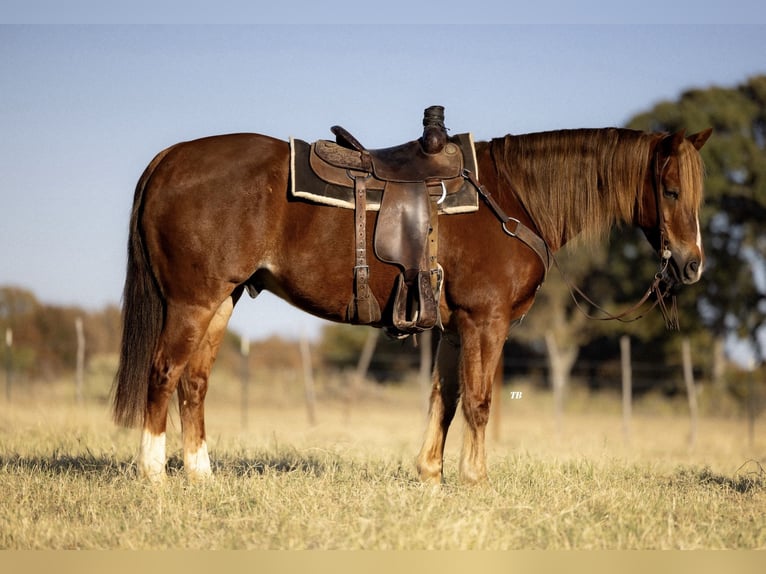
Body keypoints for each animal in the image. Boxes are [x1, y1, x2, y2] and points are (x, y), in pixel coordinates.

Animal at [114, 122, 712, 486]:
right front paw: (475, 481)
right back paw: (154, 475)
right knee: (163, 372)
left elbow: (443, 399)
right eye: (671, 191)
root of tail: (169, 159)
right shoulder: (485, 322)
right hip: (191, 302)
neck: (513, 199)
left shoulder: (452, 327)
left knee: (194, 382)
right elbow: (478, 402)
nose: (691, 265)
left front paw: (431, 475)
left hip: (221, 300)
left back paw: (201, 475)